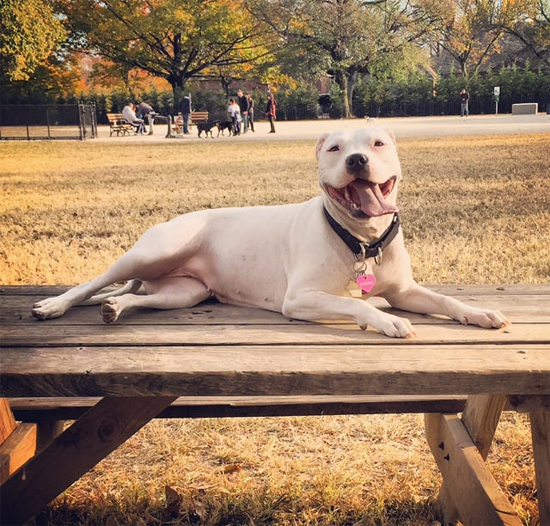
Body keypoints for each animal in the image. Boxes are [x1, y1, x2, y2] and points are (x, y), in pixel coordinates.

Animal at [32, 128, 512, 338]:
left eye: (377, 144)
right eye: (335, 148)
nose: (356, 159)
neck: (361, 238)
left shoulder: (406, 290)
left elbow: (445, 300)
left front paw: (479, 313)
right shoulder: (299, 298)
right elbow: (357, 304)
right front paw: (387, 320)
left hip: (184, 292)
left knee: (138, 297)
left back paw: (116, 308)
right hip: (150, 253)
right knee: (94, 282)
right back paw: (54, 306)